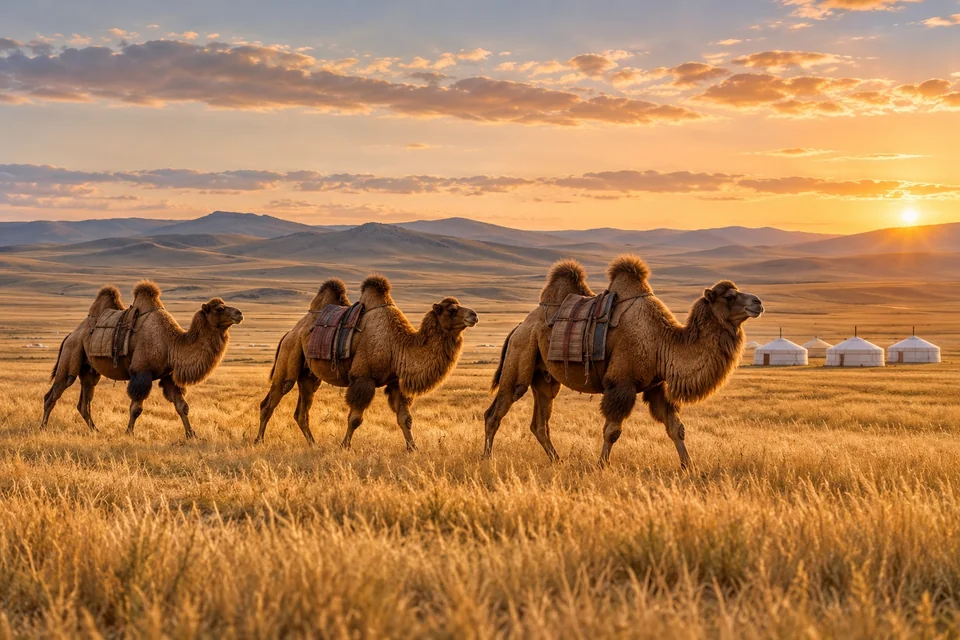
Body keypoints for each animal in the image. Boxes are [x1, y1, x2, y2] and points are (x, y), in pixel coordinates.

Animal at [41, 282, 243, 438]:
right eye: (219, 308)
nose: (239, 313)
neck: (170, 343)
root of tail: (70, 335)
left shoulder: (168, 376)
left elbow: (182, 406)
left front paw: (191, 434)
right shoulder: (142, 372)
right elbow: (136, 408)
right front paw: (128, 433)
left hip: (89, 371)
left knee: (84, 402)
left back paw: (96, 431)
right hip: (71, 354)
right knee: (54, 393)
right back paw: (43, 427)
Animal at [257, 275, 478, 450]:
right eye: (451, 309)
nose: (474, 314)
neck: (397, 344)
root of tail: (290, 332)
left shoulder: (396, 382)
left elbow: (405, 419)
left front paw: (413, 448)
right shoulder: (364, 378)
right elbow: (355, 419)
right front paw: (344, 446)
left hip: (309, 376)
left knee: (302, 412)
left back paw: (313, 444)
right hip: (289, 354)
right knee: (271, 400)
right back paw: (258, 441)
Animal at [483, 256, 763, 468]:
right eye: (729, 296)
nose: (758, 302)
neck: (662, 342)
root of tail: (519, 327)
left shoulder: (656, 386)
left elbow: (676, 427)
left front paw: (689, 466)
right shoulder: (622, 382)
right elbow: (612, 430)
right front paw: (601, 466)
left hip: (544, 378)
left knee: (539, 423)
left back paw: (557, 460)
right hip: (520, 358)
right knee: (495, 412)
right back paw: (487, 458)